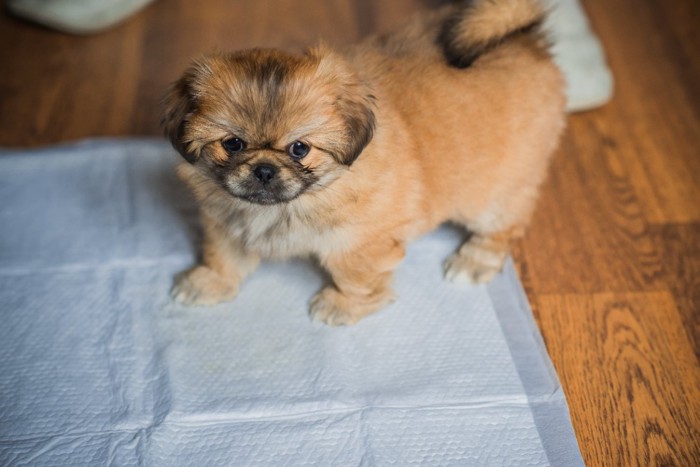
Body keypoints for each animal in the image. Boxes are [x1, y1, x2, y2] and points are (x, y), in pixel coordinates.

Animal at [161, 0, 568, 326]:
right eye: (233, 144)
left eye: (299, 149)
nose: (263, 169)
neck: (288, 207)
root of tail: (523, 41)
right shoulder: (227, 225)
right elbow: (223, 257)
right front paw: (209, 282)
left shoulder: (360, 244)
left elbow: (354, 277)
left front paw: (343, 306)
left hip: (492, 197)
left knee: (504, 228)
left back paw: (474, 262)